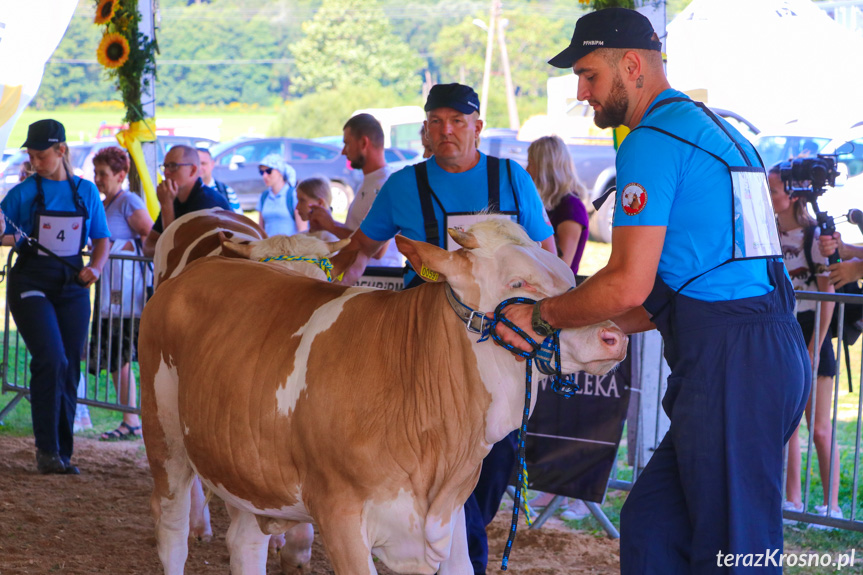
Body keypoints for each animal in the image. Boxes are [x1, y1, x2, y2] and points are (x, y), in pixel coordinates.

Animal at [140, 217, 628, 575]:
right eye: (518, 283)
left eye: (567, 275)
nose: (614, 336)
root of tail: (196, 272)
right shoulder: (340, 516)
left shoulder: (447, 519)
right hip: (164, 436)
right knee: (172, 534)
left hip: (242, 462)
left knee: (245, 543)